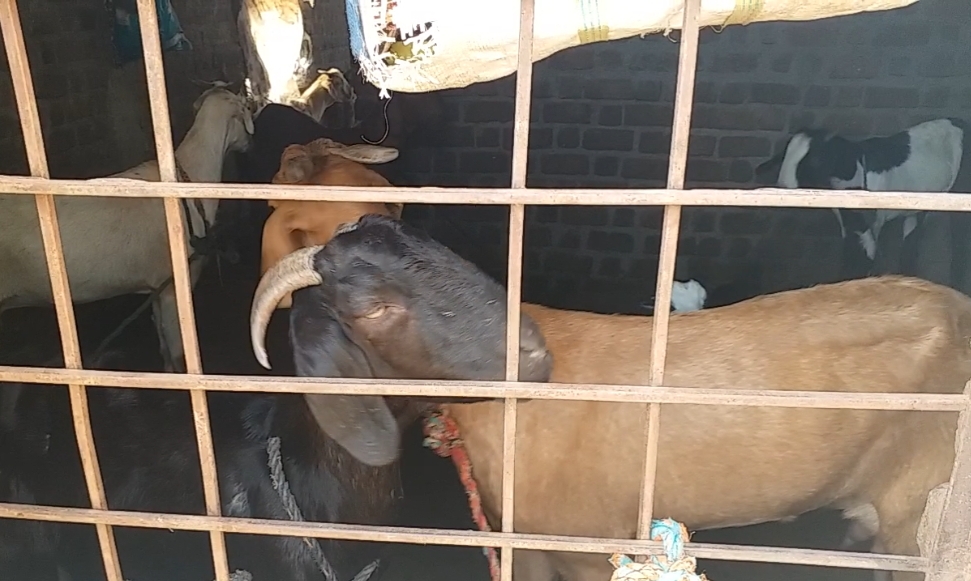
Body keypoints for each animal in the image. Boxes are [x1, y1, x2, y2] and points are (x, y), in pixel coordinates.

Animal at [0, 85, 254, 372]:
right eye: (246, 108)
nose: (250, 144)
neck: (191, 176)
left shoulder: (156, 286)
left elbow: (164, 346)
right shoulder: (175, 282)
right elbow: (178, 351)